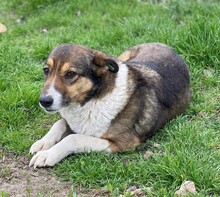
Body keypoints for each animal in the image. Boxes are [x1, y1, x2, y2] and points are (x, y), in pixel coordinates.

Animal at [28, 42, 190, 169]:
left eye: (70, 74)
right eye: (46, 70)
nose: (44, 101)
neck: (93, 99)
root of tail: (167, 46)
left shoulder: (122, 143)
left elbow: (74, 138)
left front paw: (48, 154)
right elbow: (59, 123)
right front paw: (42, 143)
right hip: (122, 58)